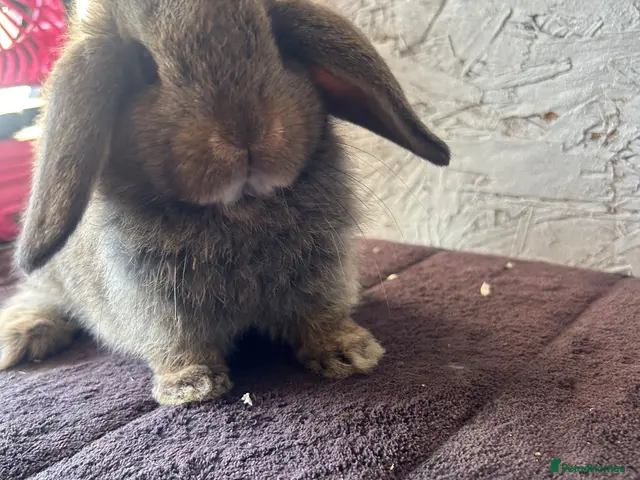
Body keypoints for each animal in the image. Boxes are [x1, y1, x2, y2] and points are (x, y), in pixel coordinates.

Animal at [0, 0, 450, 405]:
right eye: (144, 65)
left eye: (276, 41)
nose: (246, 134)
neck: (239, 211)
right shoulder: (155, 299)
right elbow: (178, 342)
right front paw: (191, 387)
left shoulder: (322, 274)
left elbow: (321, 315)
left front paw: (351, 353)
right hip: (55, 281)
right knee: (38, 296)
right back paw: (18, 339)